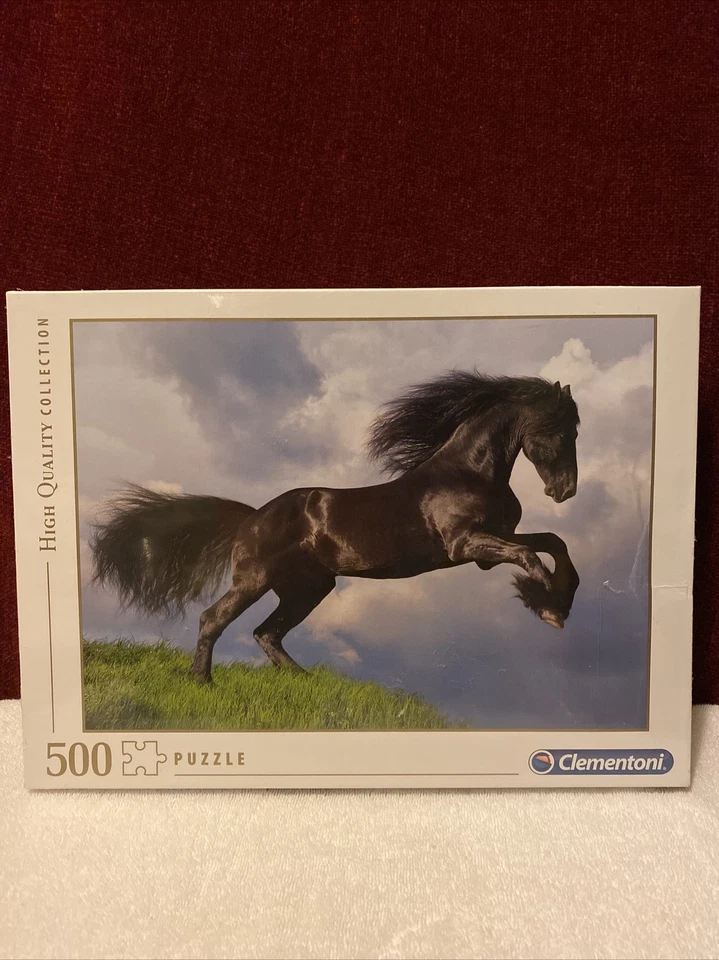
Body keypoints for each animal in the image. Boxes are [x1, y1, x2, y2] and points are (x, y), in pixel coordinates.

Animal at [91, 371, 580, 683]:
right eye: (560, 429)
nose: (565, 491)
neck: (468, 472)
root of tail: (252, 517)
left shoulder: (488, 547)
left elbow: (553, 543)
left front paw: (558, 601)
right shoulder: (465, 546)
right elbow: (530, 555)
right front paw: (547, 606)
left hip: (308, 588)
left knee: (267, 632)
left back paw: (303, 679)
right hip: (256, 579)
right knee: (215, 619)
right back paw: (200, 681)